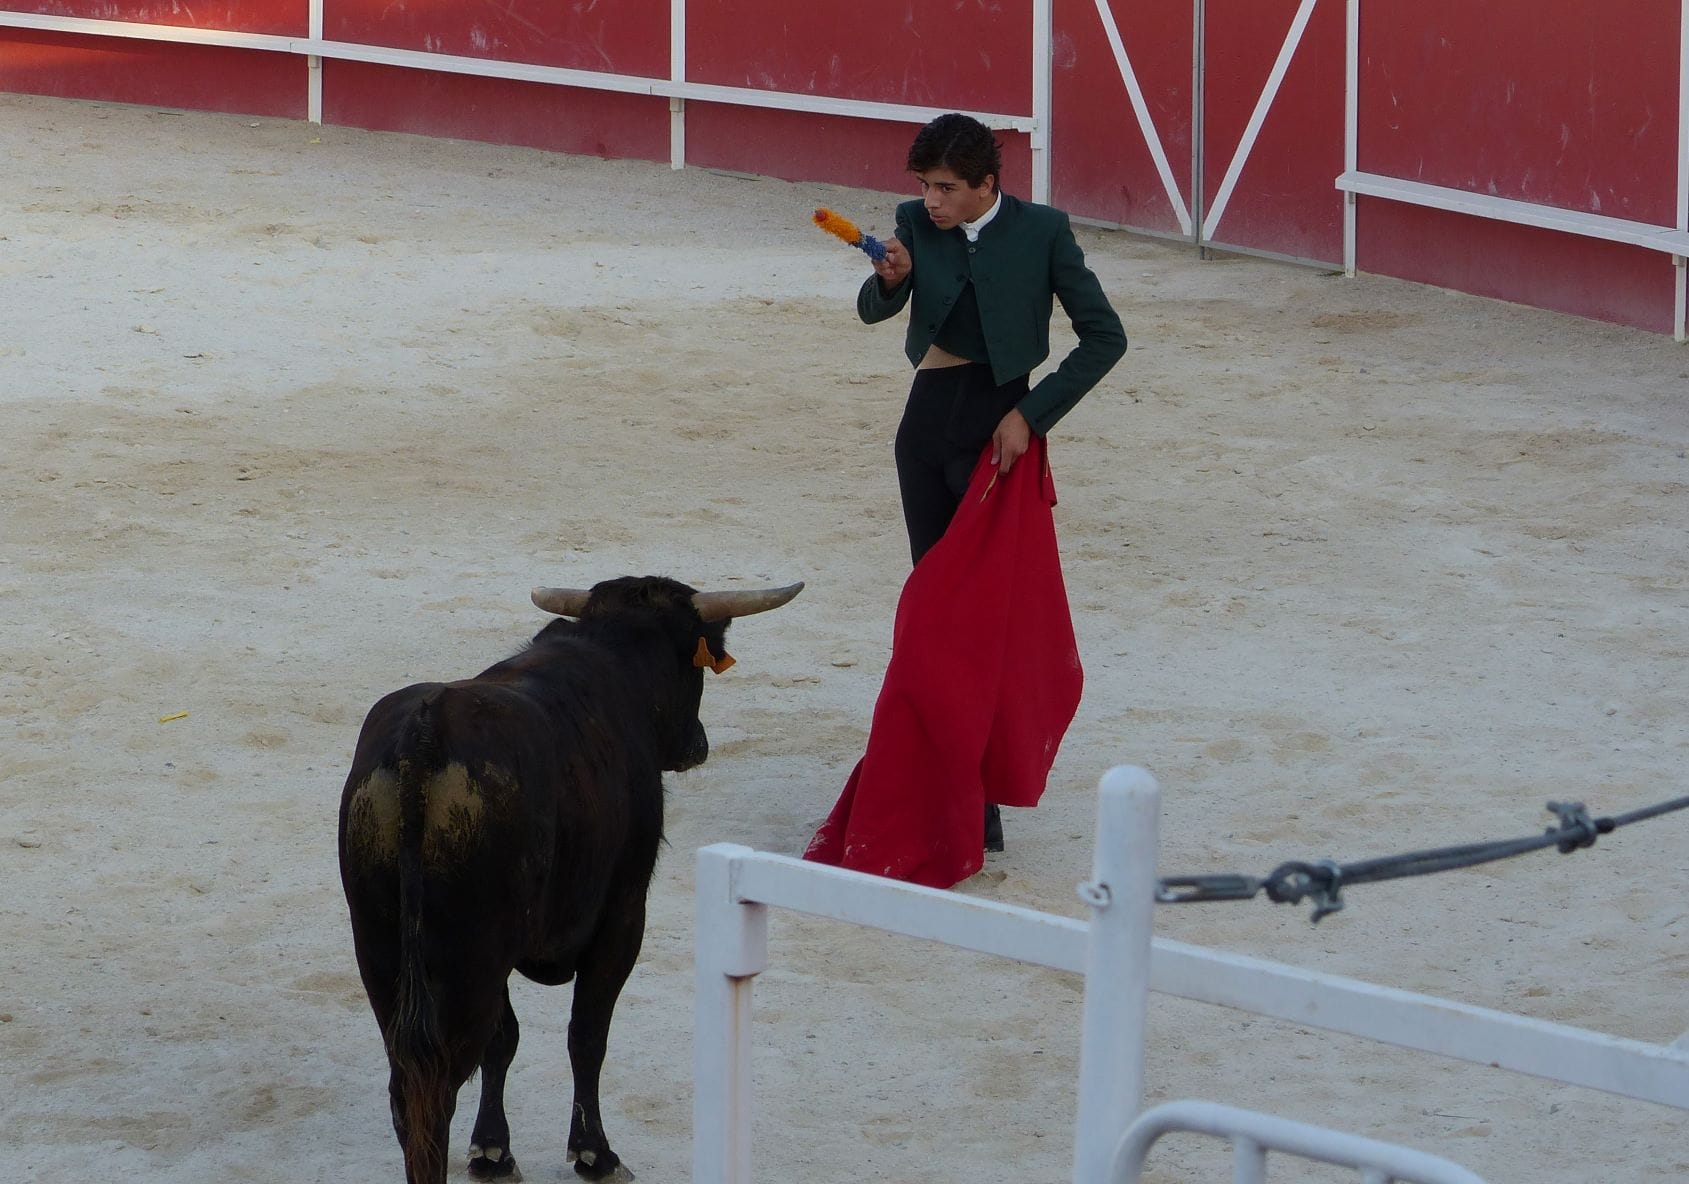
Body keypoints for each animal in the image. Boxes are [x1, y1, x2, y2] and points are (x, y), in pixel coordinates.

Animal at [339, 570, 800, 1175]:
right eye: (695, 660)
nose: (696, 746)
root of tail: (424, 736)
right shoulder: (623, 914)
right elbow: (587, 1033)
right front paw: (592, 1152)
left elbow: (507, 1039)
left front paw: (493, 1149)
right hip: (469, 957)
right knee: (436, 1089)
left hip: (382, 951)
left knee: (409, 1088)